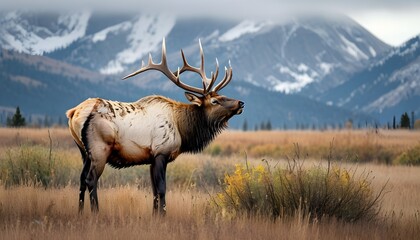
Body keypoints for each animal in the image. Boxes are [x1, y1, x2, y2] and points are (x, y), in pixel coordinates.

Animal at [65, 39, 243, 214]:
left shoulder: (151, 158)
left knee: (81, 179)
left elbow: (154, 191)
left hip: (83, 151)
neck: (182, 129)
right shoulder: (161, 152)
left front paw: (154, 215)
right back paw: (96, 213)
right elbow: (162, 189)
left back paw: (80, 212)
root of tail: (73, 113)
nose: (241, 103)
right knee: (91, 179)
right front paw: (163, 215)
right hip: (99, 148)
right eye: (214, 101)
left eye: (222, 95)